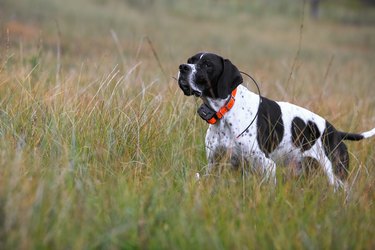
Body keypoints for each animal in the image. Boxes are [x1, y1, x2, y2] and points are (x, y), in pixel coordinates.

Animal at [178, 53, 374, 189]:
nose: (183, 67)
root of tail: (336, 133)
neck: (226, 112)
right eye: (190, 59)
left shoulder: (267, 165)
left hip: (336, 176)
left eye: (207, 64)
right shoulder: (215, 165)